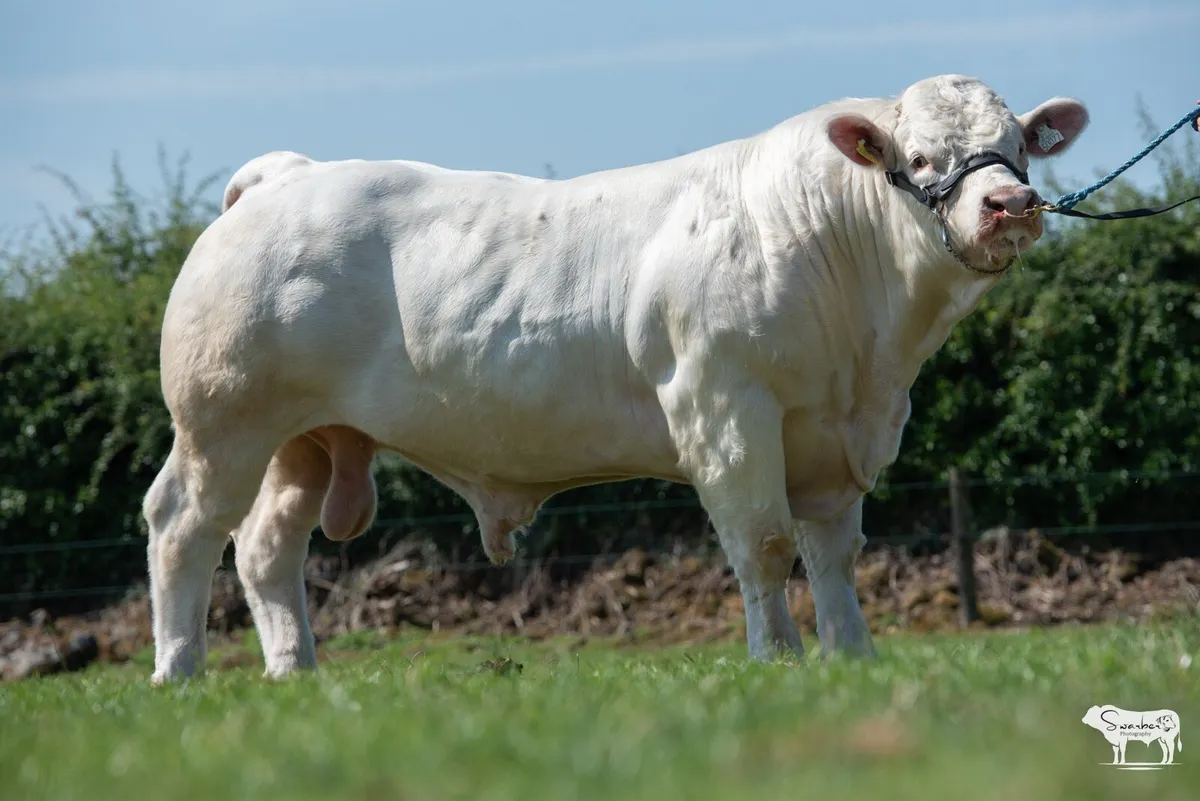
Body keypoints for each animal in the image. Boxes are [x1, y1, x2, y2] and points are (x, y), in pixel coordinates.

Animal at [142, 73, 1089, 684]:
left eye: (1016, 146)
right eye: (922, 158)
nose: (1008, 205)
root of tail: (287, 174)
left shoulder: (835, 434)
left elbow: (834, 555)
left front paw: (850, 656)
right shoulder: (727, 412)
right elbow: (764, 544)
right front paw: (777, 660)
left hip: (304, 441)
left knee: (266, 547)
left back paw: (294, 672)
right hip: (222, 421)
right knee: (182, 526)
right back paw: (179, 670)